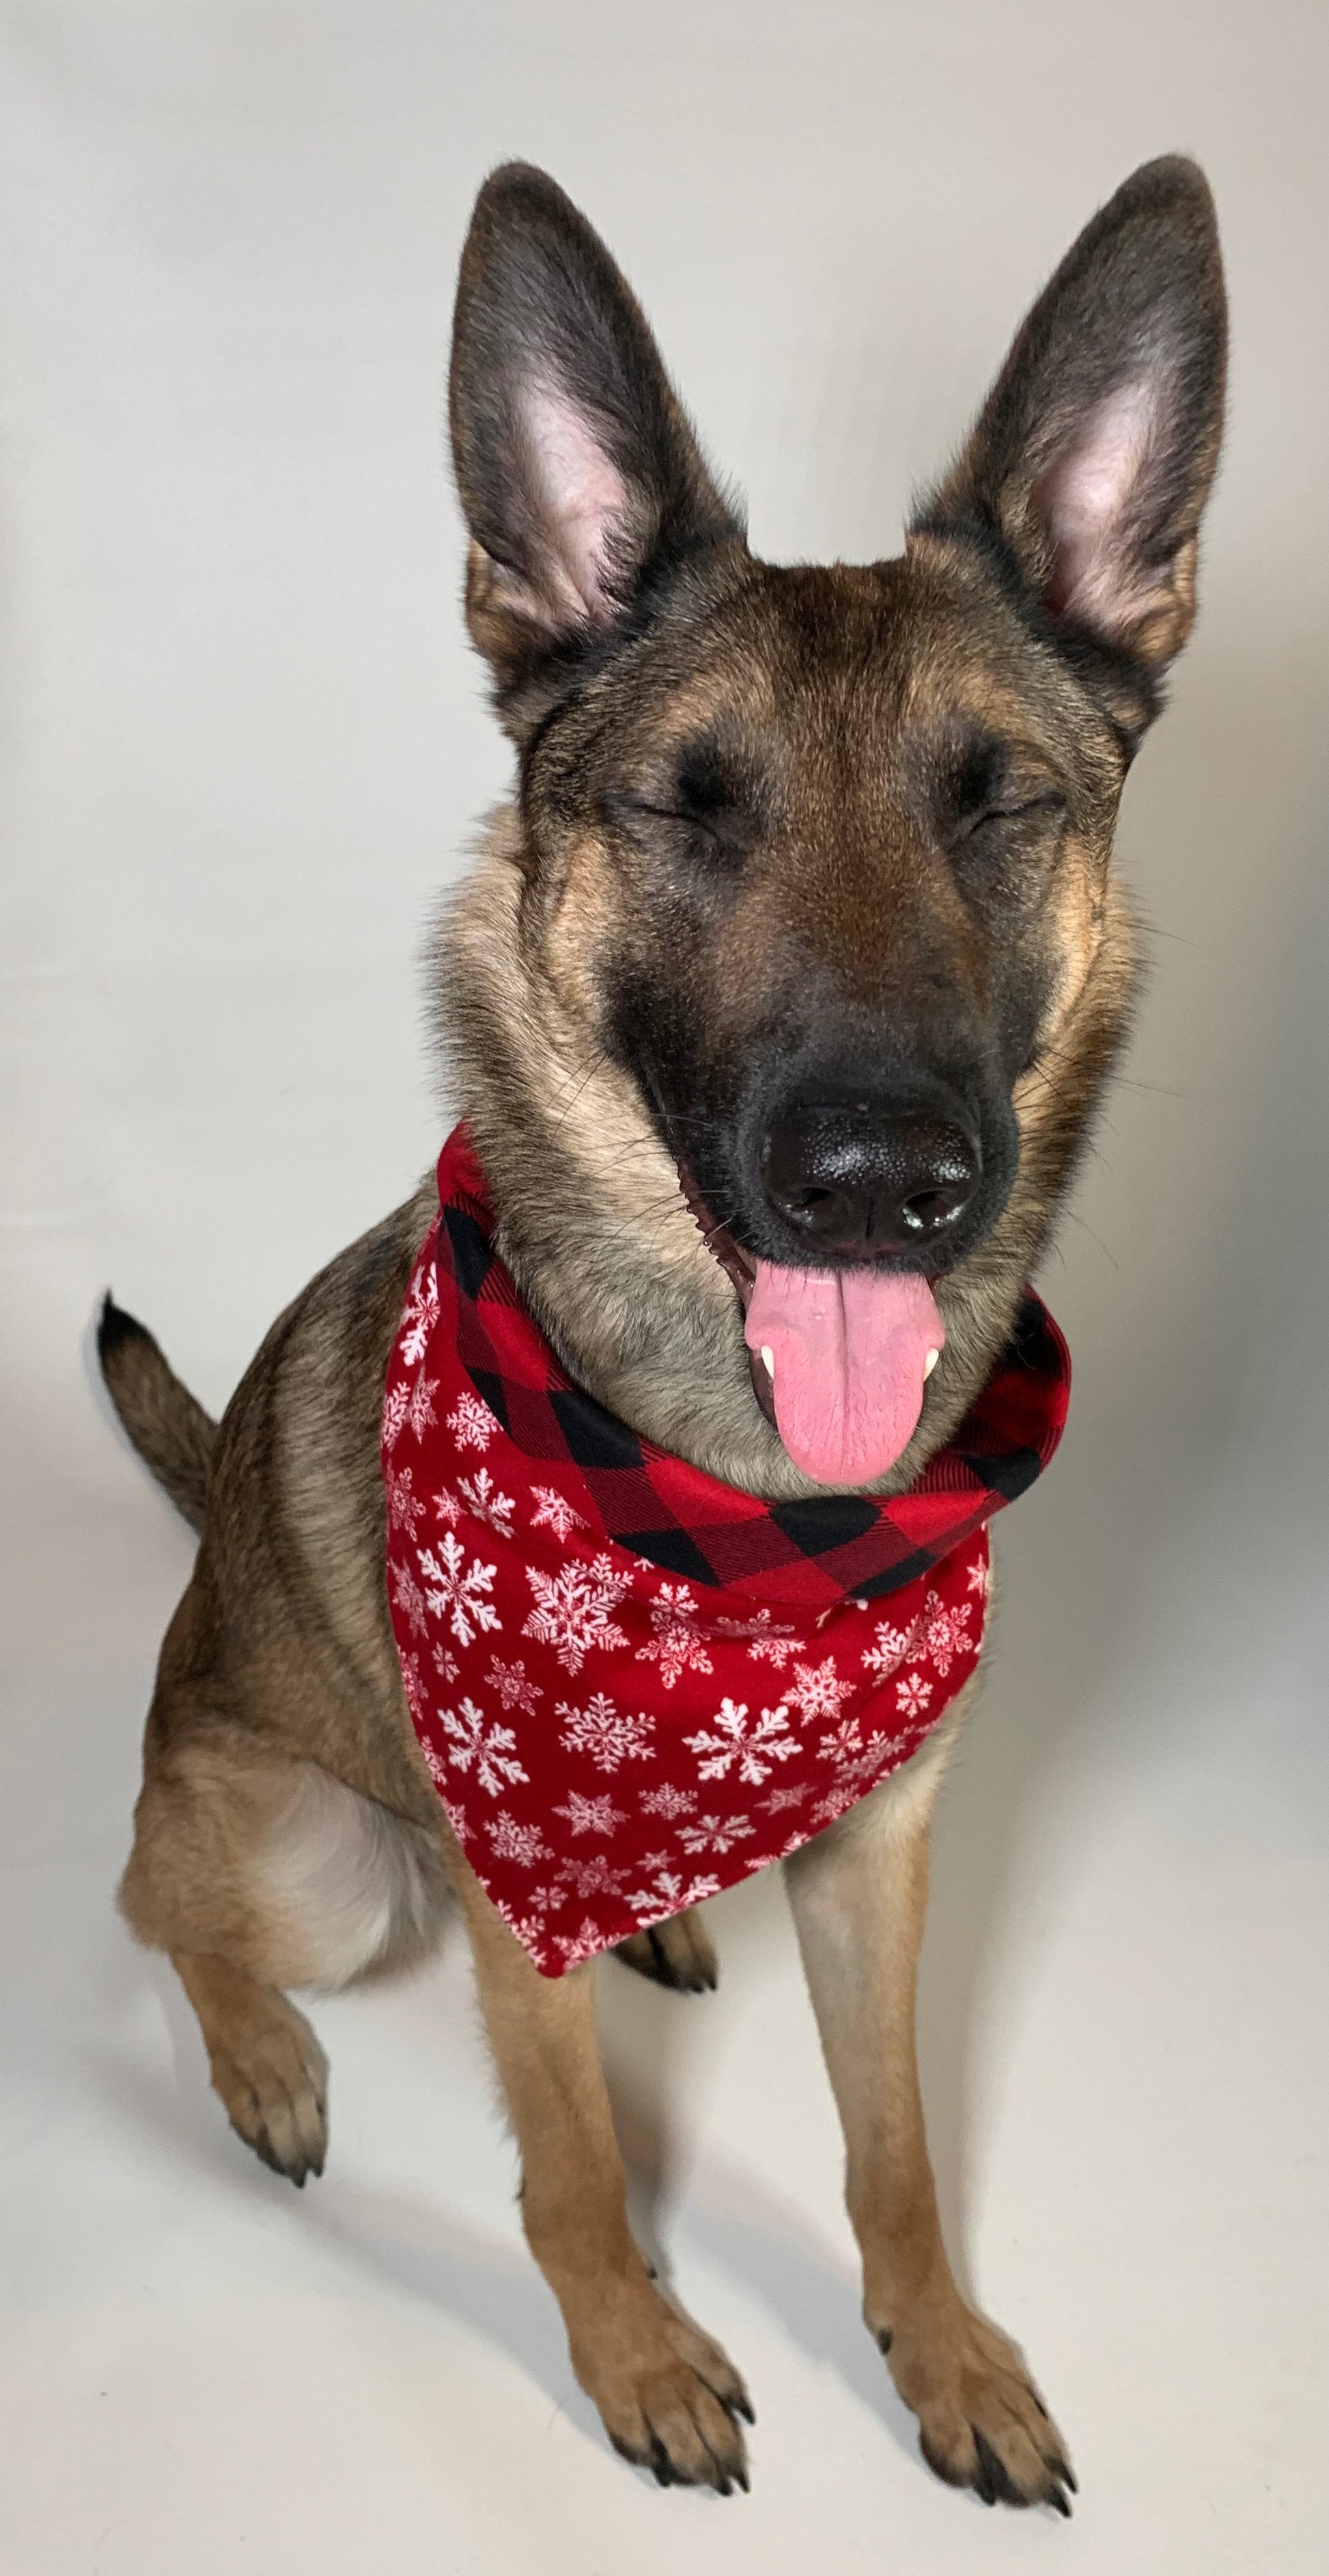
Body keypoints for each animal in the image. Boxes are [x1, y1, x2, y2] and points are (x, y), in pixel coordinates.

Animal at [101, 150, 1226, 2504]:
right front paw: (632, 2350)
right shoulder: (508, 1872)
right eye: (686, 806)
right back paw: (260, 2060)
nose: (880, 1177)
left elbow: (897, 2143)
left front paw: (942, 2351)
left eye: (998, 799)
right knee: (159, 1903)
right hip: (319, 1856)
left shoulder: (885, 1854)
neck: (749, 1518)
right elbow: (572, 2166)